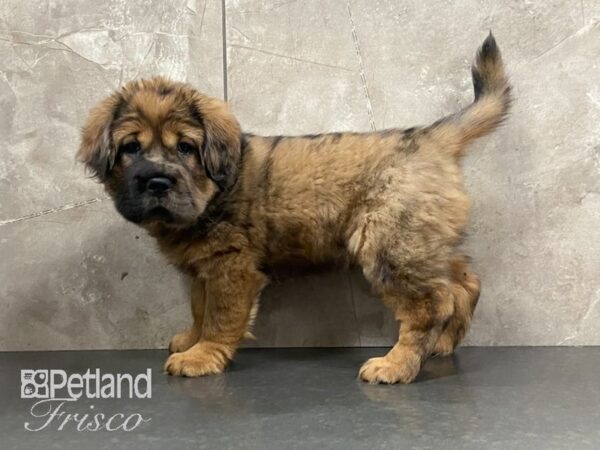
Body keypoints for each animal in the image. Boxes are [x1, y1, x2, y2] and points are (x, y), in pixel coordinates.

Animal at [78, 33, 510, 384]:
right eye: (130, 148)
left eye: (185, 147)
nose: (156, 181)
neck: (214, 192)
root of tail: (431, 138)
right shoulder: (205, 268)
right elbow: (199, 308)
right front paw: (191, 340)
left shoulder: (231, 267)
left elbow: (219, 316)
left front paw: (202, 356)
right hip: (422, 242)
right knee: (463, 283)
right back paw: (444, 343)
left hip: (389, 245)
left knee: (430, 305)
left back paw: (396, 365)